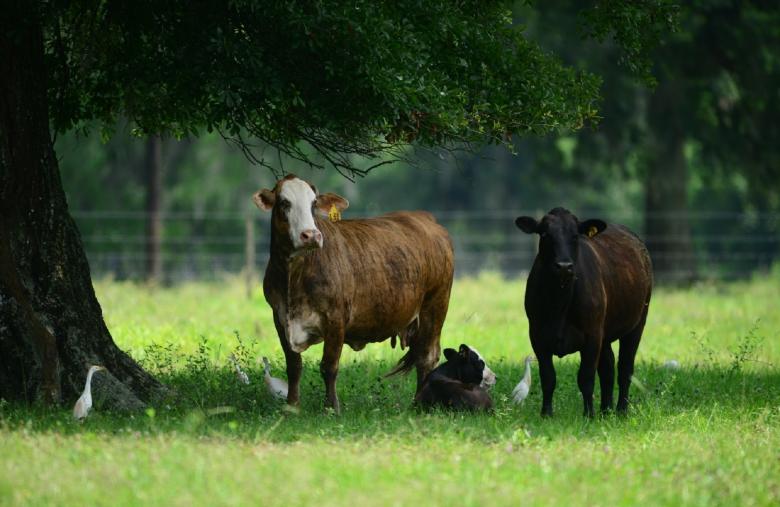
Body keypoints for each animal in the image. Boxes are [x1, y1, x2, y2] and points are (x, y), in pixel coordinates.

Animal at [254, 174, 454, 414]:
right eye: (284, 203)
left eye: (313, 204)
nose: (311, 235)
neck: (294, 278)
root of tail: (424, 218)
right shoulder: (280, 318)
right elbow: (294, 366)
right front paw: (292, 406)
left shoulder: (335, 318)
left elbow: (329, 366)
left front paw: (331, 408)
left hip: (435, 306)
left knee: (427, 357)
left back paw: (419, 404)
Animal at [515, 207, 652, 417]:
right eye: (545, 234)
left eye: (575, 235)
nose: (564, 266)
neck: (559, 303)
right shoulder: (537, 335)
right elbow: (548, 377)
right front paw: (546, 414)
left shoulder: (592, 335)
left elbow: (586, 377)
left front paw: (589, 414)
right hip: (605, 332)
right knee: (608, 367)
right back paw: (606, 410)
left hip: (637, 323)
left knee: (625, 368)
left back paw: (621, 410)